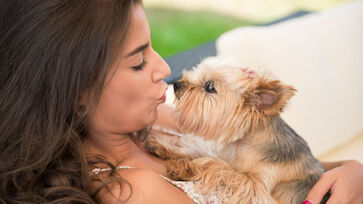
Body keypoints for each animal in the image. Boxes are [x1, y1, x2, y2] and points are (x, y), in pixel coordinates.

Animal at [146, 58, 328, 203]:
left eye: (210, 87)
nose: (177, 84)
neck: (244, 143)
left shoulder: (258, 188)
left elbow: (219, 166)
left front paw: (184, 168)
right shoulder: (229, 157)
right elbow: (205, 155)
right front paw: (164, 147)